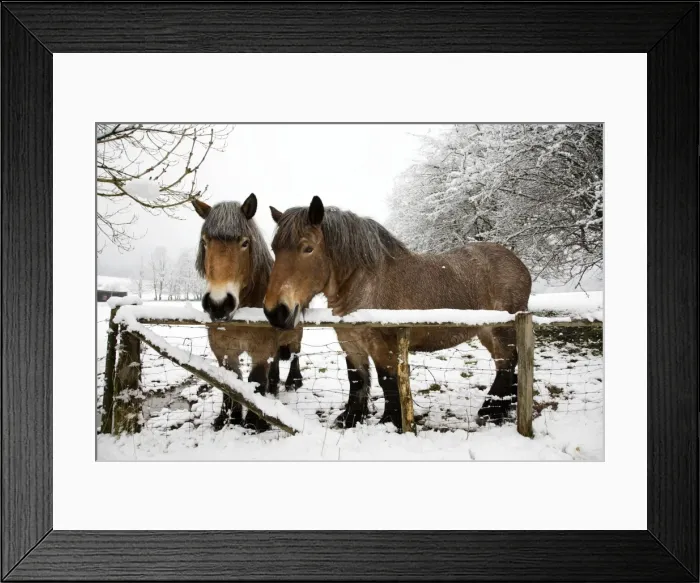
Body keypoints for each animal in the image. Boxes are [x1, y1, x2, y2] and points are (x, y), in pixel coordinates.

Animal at [192, 193, 303, 432]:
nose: (218, 304)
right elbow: (231, 384)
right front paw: (228, 419)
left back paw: (293, 382)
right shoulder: (224, 352)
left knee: (295, 356)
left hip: (294, 338)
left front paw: (254, 422)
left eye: (244, 243)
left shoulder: (260, 351)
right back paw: (274, 386)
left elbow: (256, 381)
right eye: (205, 242)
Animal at [263, 196, 532, 430]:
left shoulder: (385, 347)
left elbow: (388, 382)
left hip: (502, 331)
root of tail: (518, 263)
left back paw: (491, 412)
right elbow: (356, 380)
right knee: (506, 365)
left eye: (307, 248)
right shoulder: (351, 343)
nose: (276, 311)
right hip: (486, 332)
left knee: (507, 364)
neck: (365, 286)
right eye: (274, 249)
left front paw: (391, 422)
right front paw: (350, 419)